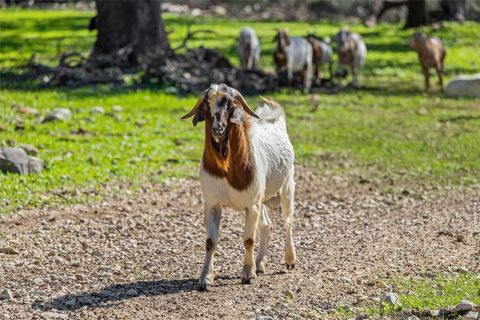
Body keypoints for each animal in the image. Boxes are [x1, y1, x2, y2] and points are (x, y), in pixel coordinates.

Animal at [182, 84, 296, 292]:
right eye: (207, 104)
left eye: (230, 104)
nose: (218, 128)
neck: (228, 168)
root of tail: (275, 121)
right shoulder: (213, 203)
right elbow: (210, 242)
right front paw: (205, 278)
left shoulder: (251, 205)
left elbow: (248, 240)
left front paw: (247, 275)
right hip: (262, 199)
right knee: (266, 224)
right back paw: (260, 264)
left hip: (287, 187)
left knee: (288, 221)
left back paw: (290, 260)